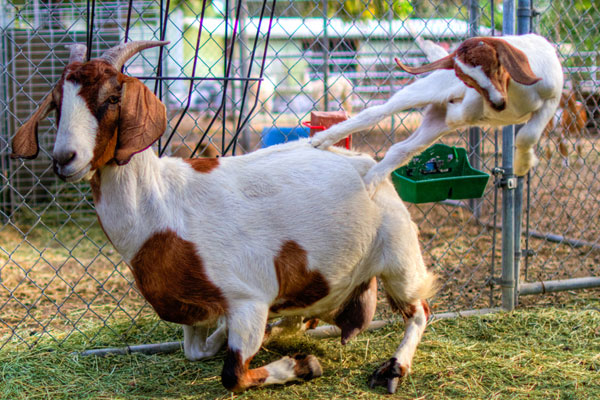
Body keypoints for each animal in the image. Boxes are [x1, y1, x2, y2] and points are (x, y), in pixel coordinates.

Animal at [10, 41, 436, 394]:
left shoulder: (248, 297)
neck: (161, 208)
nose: (64, 158)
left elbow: (233, 374)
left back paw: (393, 369)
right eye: (56, 103)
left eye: (113, 96)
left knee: (419, 311)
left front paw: (302, 366)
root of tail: (366, 163)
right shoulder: (193, 310)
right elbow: (197, 351)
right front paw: (243, 338)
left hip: (399, 255)